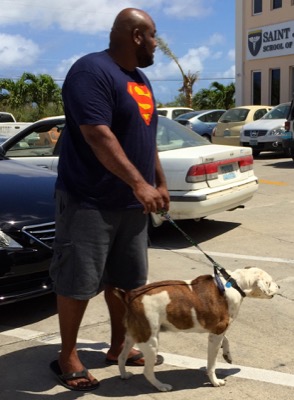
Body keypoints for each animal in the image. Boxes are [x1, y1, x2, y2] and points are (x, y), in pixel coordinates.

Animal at [115, 268, 278, 392]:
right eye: (270, 282)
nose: (279, 287)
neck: (235, 284)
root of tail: (129, 296)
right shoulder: (216, 334)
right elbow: (211, 364)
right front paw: (215, 381)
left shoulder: (217, 330)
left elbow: (226, 340)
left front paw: (227, 354)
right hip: (150, 341)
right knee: (147, 372)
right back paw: (161, 386)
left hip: (132, 336)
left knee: (121, 357)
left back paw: (124, 375)